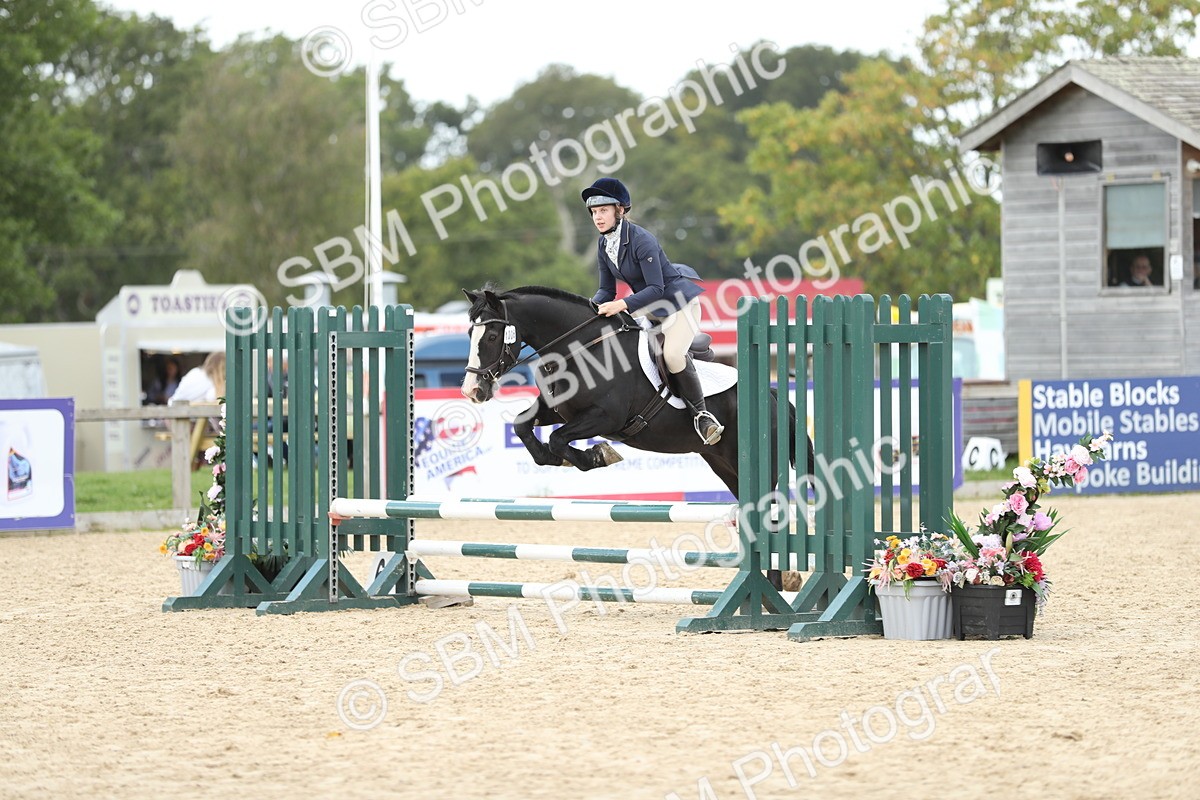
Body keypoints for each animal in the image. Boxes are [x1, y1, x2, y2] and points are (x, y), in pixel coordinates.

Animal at [460, 286, 813, 590]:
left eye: (491, 335)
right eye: (469, 334)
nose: (472, 391)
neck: (583, 349)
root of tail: (774, 395)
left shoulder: (604, 417)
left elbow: (560, 439)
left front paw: (598, 455)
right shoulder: (559, 411)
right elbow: (523, 426)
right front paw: (554, 458)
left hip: (756, 464)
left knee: (770, 518)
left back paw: (776, 589)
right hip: (724, 464)